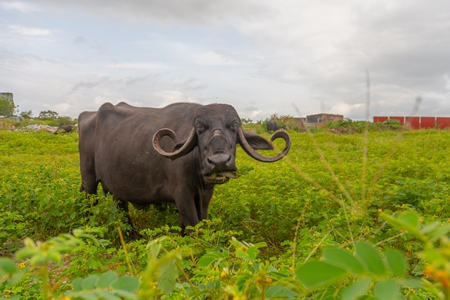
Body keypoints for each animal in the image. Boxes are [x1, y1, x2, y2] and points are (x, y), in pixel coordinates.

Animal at [78, 102, 292, 234]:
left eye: (233, 126)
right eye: (200, 129)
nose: (219, 161)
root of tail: (88, 116)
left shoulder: (205, 193)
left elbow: (197, 221)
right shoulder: (182, 194)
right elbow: (192, 224)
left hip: (114, 186)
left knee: (120, 207)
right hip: (88, 179)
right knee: (89, 202)